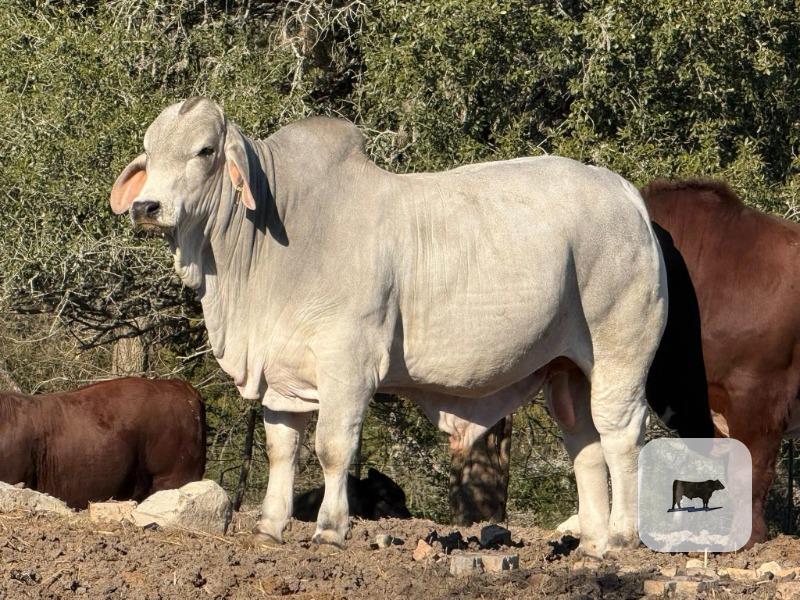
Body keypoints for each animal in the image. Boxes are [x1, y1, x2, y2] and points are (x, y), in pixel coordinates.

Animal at [109, 97, 667, 557]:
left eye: (204, 151)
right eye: (149, 150)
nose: (145, 207)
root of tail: (624, 193)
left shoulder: (348, 362)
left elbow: (333, 447)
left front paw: (330, 529)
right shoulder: (280, 375)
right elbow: (282, 449)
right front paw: (270, 527)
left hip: (619, 350)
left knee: (619, 434)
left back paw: (621, 538)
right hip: (564, 368)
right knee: (585, 445)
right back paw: (592, 544)